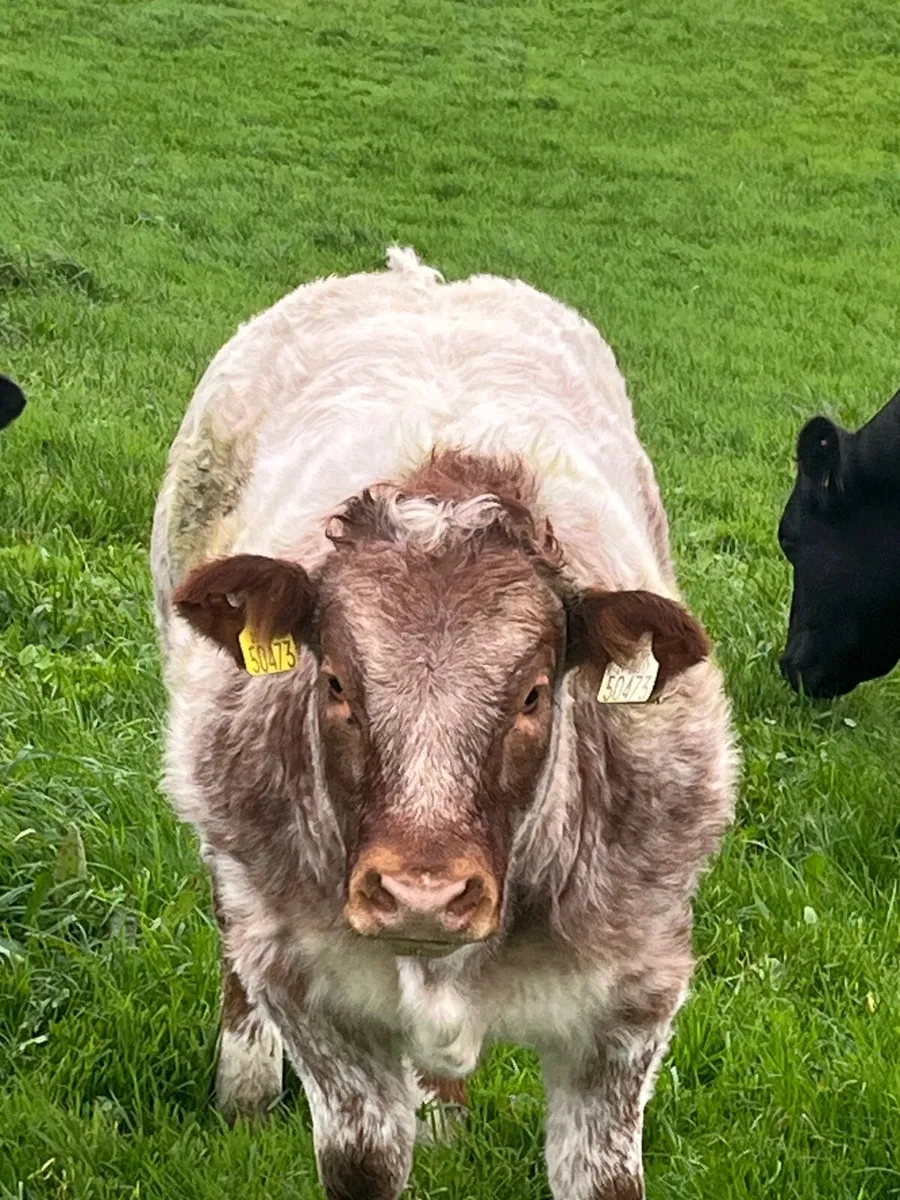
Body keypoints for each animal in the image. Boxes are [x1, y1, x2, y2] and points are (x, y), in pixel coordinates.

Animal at [150, 248, 737, 1200]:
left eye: (535, 693)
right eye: (336, 682)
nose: (421, 893)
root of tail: (416, 276)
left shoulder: (630, 1008)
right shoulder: (311, 991)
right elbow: (363, 1158)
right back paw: (244, 1088)